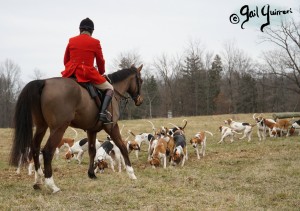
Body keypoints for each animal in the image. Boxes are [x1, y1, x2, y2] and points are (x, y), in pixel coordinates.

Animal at [9, 64, 144, 193]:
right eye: (141, 80)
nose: (140, 101)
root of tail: (44, 82)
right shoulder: (112, 126)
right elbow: (122, 147)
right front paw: (131, 174)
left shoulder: (91, 130)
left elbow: (92, 151)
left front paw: (91, 174)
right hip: (59, 128)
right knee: (47, 151)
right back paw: (52, 185)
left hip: (41, 126)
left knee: (35, 148)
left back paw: (38, 180)